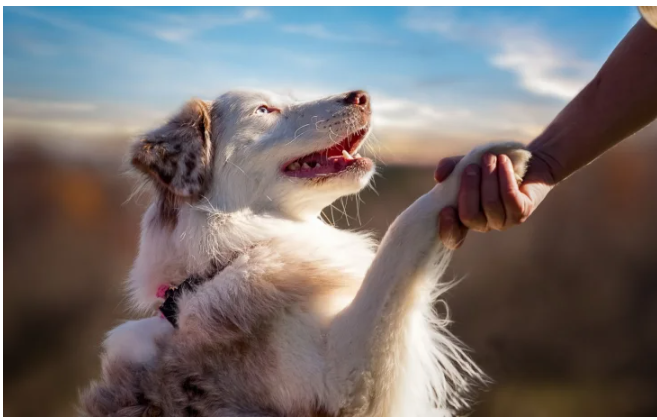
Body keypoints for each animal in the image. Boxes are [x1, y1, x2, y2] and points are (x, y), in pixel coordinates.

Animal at [79, 89, 532, 416]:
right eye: (265, 109)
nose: (362, 95)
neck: (228, 257)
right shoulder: (344, 382)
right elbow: (403, 232)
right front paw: (486, 161)